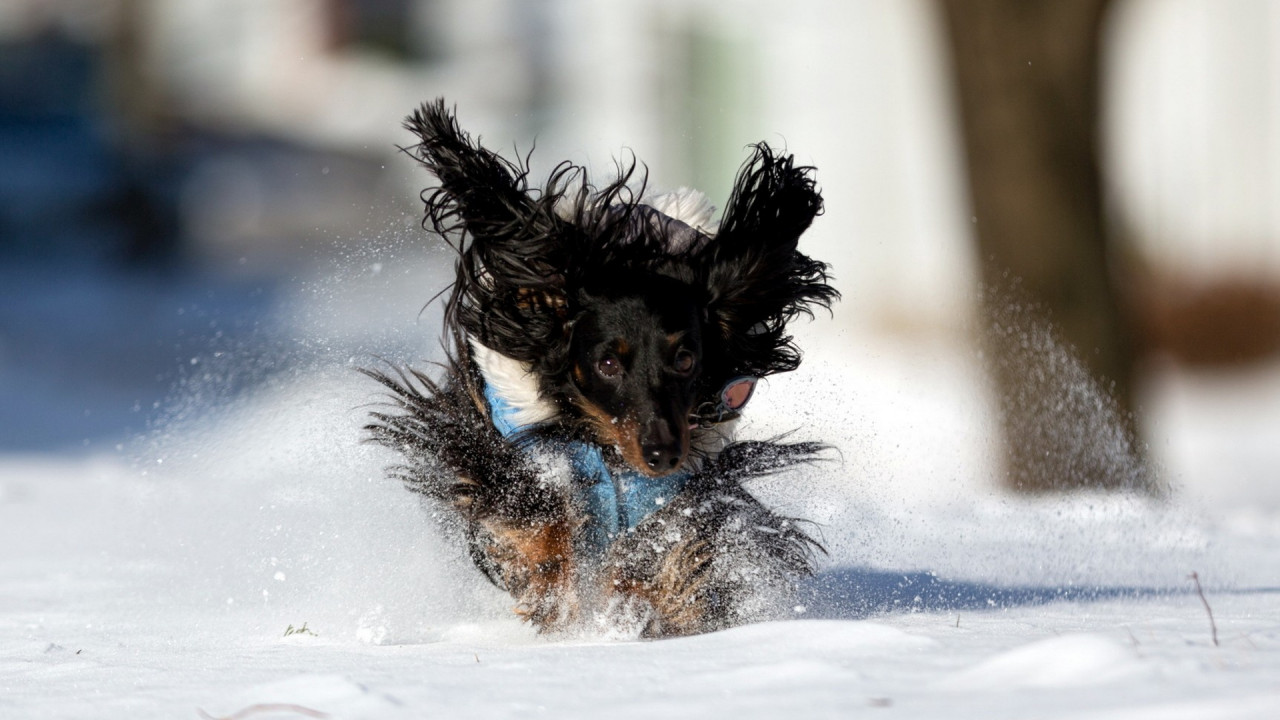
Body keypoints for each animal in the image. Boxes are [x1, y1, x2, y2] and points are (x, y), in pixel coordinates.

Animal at [363, 98, 839, 635]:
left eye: (685, 359)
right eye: (608, 362)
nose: (661, 455)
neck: (608, 449)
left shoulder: (686, 483)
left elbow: (681, 544)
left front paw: (657, 600)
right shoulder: (502, 450)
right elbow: (531, 514)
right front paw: (553, 588)